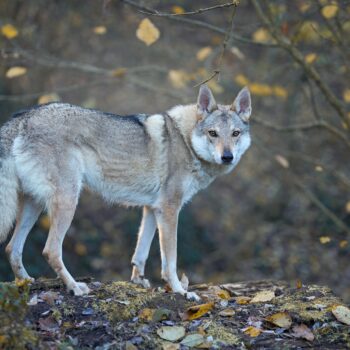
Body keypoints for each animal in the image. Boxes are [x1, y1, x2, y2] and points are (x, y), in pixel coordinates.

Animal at [0, 84, 252, 298]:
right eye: (213, 133)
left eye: (235, 133)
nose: (227, 157)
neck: (185, 140)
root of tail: (23, 118)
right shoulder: (170, 209)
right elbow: (169, 260)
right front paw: (180, 291)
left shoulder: (152, 208)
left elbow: (140, 253)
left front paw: (138, 281)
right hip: (68, 201)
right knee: (50, 250)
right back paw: (75, 287)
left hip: (34, 205)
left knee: (12, 248)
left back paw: (26, 282)